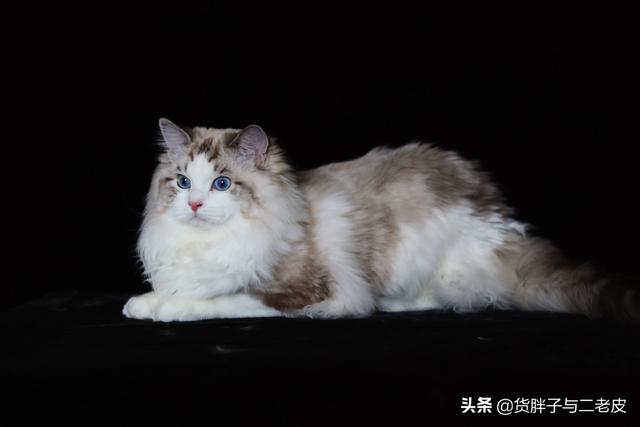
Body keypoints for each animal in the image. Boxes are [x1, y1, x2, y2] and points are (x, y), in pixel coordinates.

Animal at [123, 119, 638, 322]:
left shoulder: (295, 291)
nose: (194, 206)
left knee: (454, 296)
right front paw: (144, 303)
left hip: (424, 262)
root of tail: (500, 214)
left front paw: (165, 308)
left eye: (223, 184)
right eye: (183, 182)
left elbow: (217, 299)